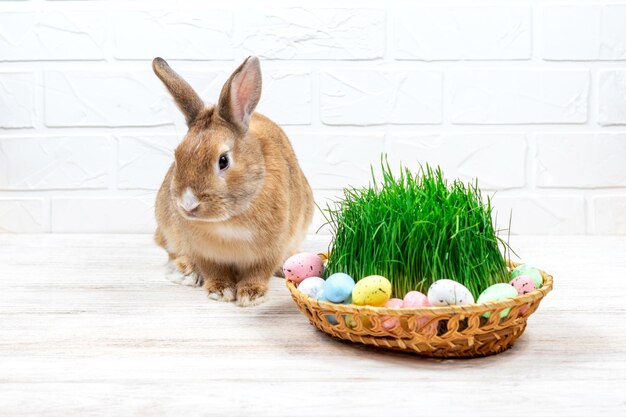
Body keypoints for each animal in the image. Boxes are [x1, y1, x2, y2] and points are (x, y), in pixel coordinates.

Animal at [152, 55, 312, 306]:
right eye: (177, 156)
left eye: (223, 161)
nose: (188, 205)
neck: (228, 221)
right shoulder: (204, 253)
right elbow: (214, 271)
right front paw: (220, 291)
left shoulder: (270, 250)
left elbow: (259, 272)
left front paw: (251, 295)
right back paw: (187, 271)